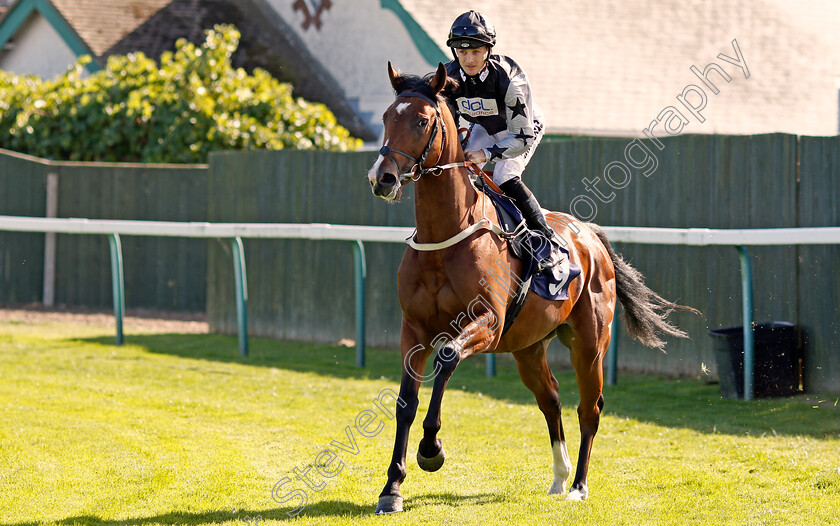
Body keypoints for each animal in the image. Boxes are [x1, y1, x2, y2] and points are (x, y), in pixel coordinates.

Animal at [368, 63, 696, 516]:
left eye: (421, 121)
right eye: (386, 117)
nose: (382, 178)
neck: (445, 236)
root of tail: (589, 236)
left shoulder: (487, 323)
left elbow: (448, 358)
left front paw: (431, 449)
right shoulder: (413, 330)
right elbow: (405, 402)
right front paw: (392, 488)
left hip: (589, 343)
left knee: (589, 408)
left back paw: (578, 485)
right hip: (528, 346)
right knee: (551, 399)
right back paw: (559, 478)